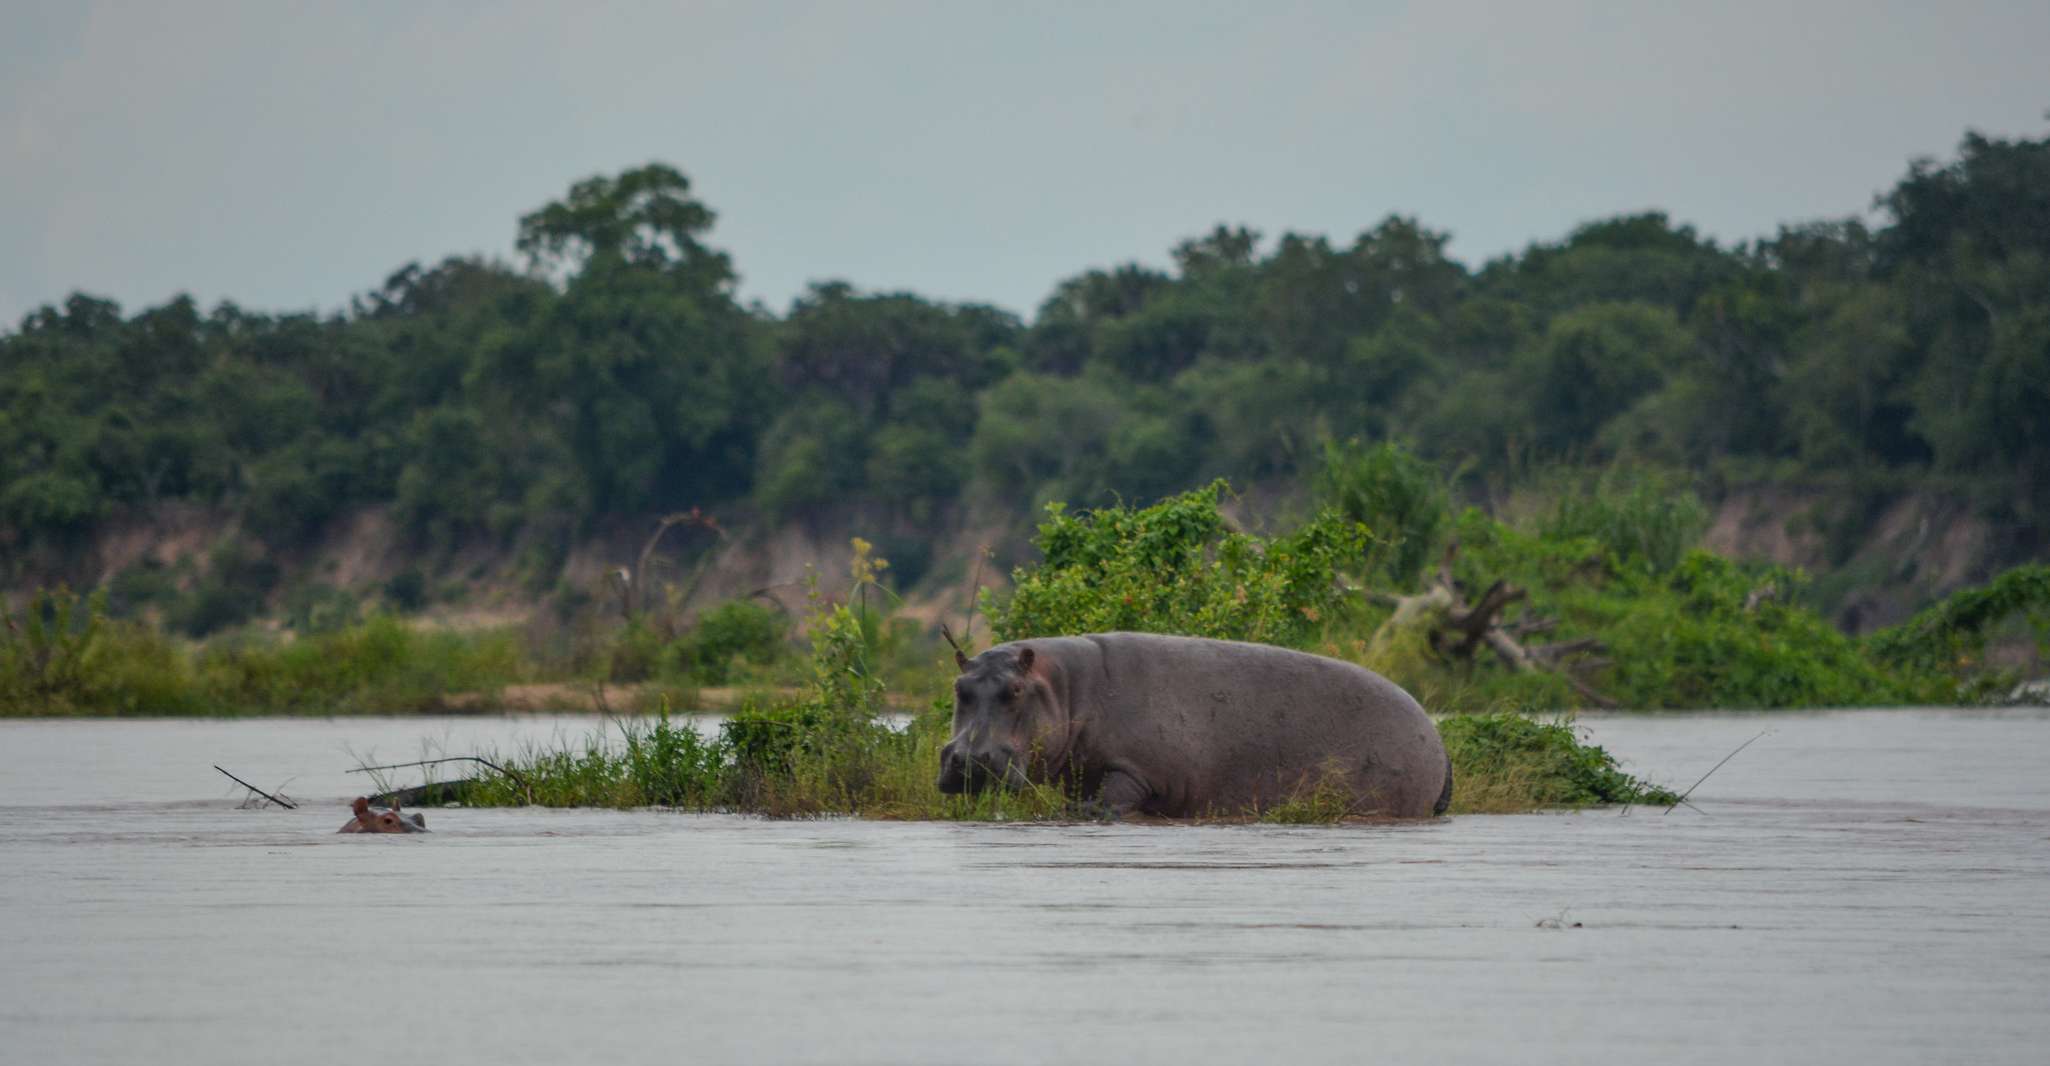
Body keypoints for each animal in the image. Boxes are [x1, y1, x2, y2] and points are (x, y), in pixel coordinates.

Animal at [938, 631, 1451, 815]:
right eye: (958, 687)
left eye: (1014, 691)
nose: (968, 759)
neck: (1067, 688)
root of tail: (1437, 737)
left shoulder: (1139, 769)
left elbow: (1111, 798)